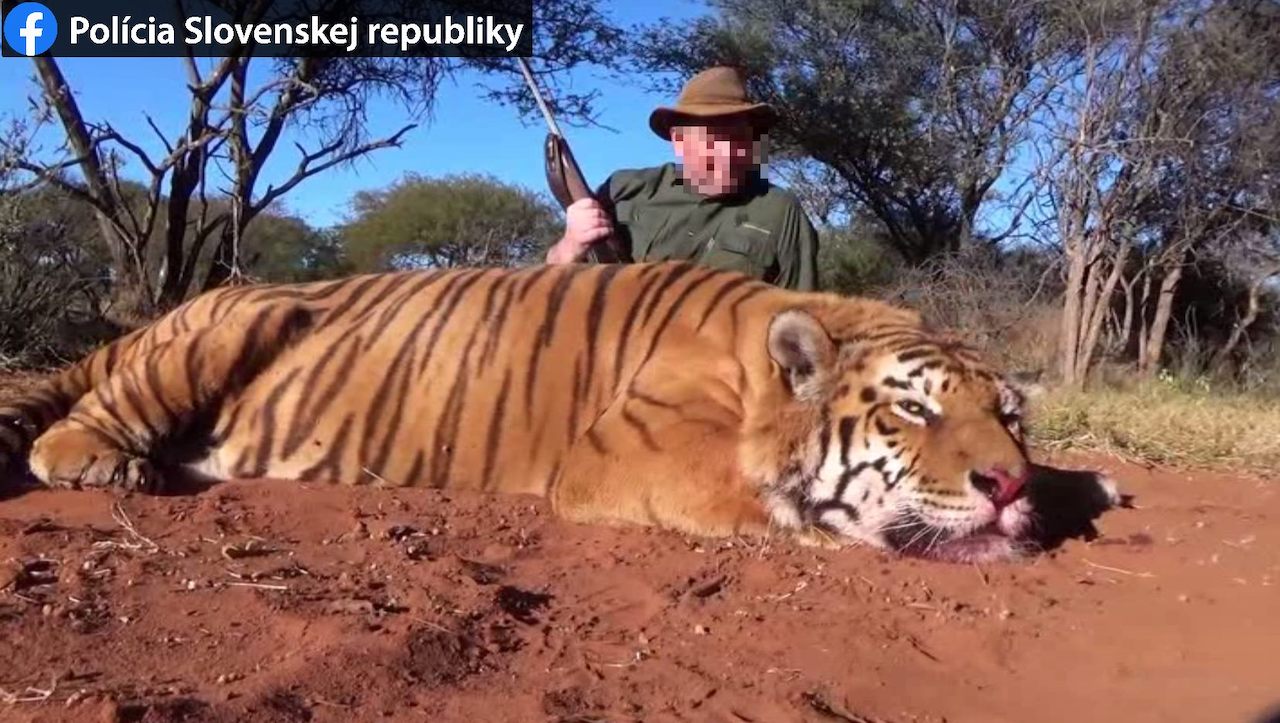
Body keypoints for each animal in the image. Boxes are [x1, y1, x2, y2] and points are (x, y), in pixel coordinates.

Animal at [0, 261, 1118, 563]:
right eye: (913, 412)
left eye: (1012, 420)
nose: (1006, 480)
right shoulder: (622, 457)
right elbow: (778, 509)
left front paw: (1084, 485)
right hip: (240, 316)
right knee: (70, 425)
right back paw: (105, 464)